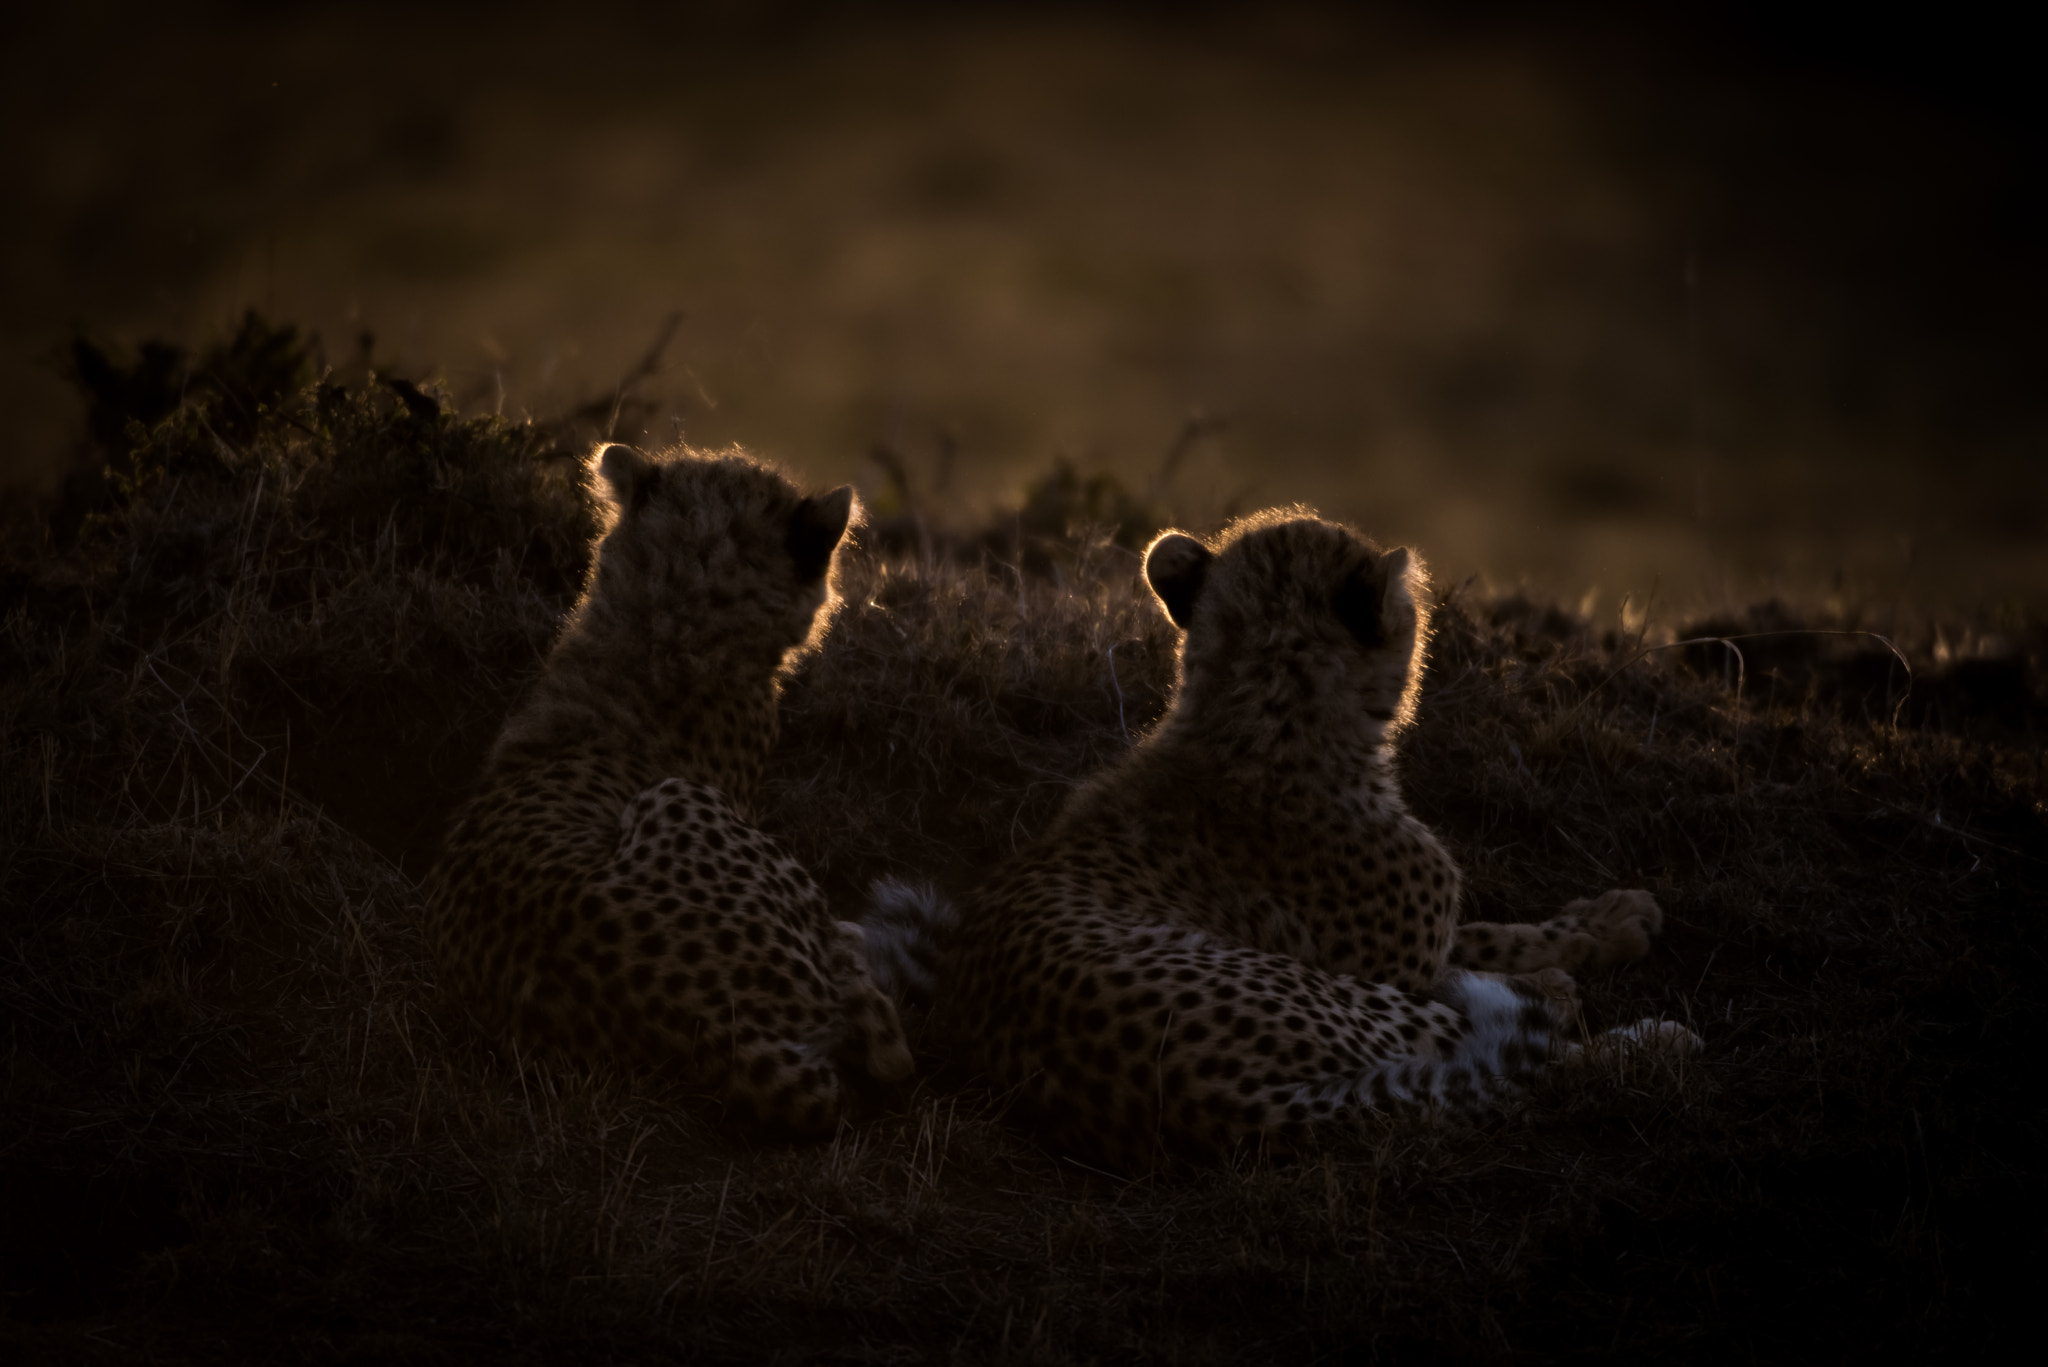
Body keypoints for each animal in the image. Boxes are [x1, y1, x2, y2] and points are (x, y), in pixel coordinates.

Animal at [893, 508, 1696, 1168]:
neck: (1261, 716)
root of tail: (1214, 1106)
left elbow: (1488, 930)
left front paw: (1607, 919)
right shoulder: (1393, 966)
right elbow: (1490, 954)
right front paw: (1575, 958)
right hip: (1365, 1008)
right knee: (1533, 1062)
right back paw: (1649, 1039)